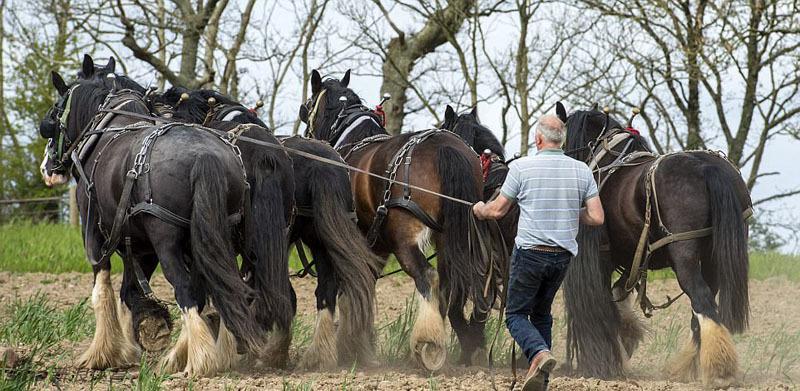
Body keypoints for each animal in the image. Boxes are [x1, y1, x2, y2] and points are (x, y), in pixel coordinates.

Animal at [37, 66, 268, 378]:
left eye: (55, 111)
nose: (47, 169)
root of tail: (205, 156)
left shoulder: (95, 237)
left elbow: (103, 291)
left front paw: (101, 353)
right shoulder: (140, 248)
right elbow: (128, 293)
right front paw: (130, 347)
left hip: (167, 241)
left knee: (187, 290)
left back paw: (197, 360)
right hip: (217, 239)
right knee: (222, 288)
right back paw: (198, 353)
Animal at [300, 70, 496, 370]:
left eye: (308, 106)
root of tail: (445, 147)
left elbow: (338, 291)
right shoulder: (374, 248)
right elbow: (362, 287)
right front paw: (359, 347)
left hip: (405, 238)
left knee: (428, 277)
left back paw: (428, 344)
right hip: (451, 237)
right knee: (454, 285)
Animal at [556, 102, 752, 388]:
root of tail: (707, 167)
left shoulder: (601, 257)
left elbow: (604, 305)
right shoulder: (631, 258)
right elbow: (618, 294)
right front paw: (627, 338)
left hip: (684, 256)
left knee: (702, 300)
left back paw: (719, 371)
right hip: (713, 257)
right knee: (701, 309)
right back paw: (686, 368)